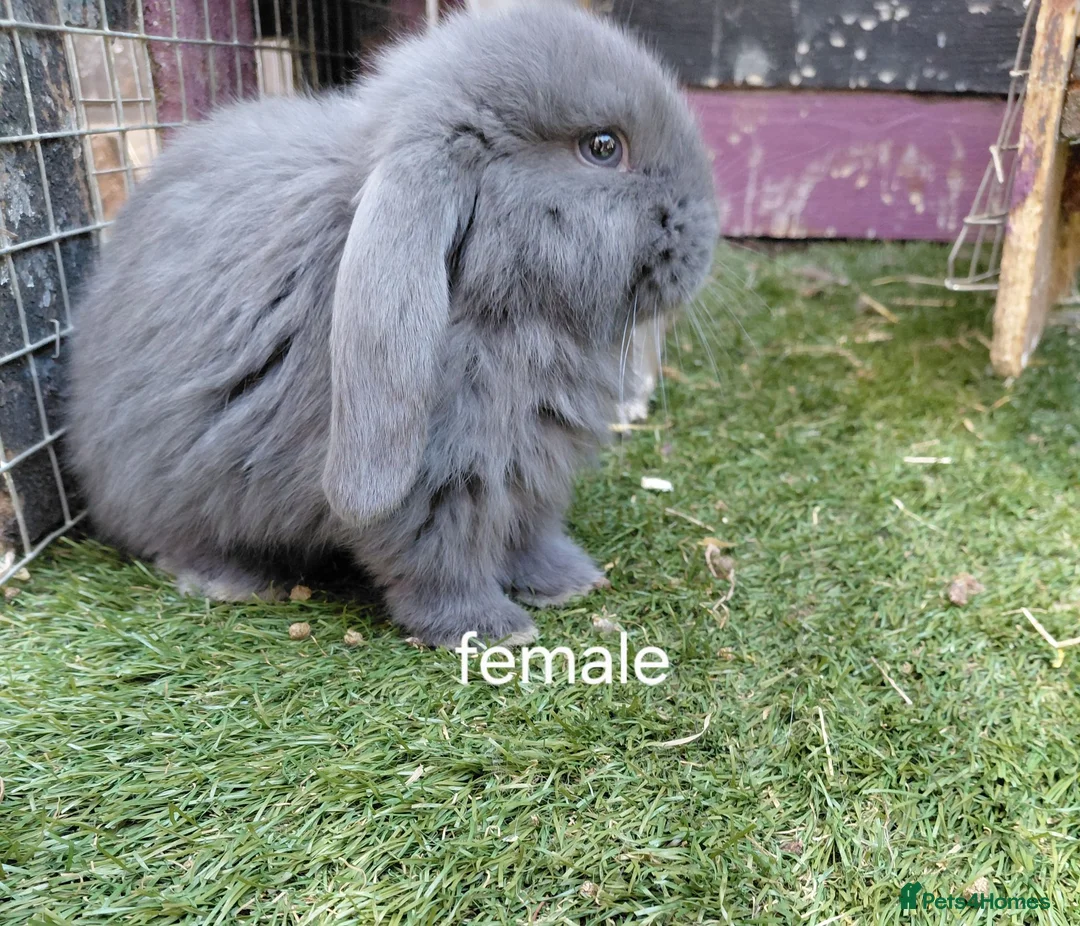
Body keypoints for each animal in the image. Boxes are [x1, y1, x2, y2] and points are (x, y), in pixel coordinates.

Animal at [67, 2, 719, 648]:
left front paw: (567, 582)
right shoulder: (437, 480)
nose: (708, 236)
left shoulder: (532, 470)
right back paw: (234, 581)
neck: (505, 312)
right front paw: (488, 630)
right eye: (603, 147)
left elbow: (527, 534)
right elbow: (437, 558)